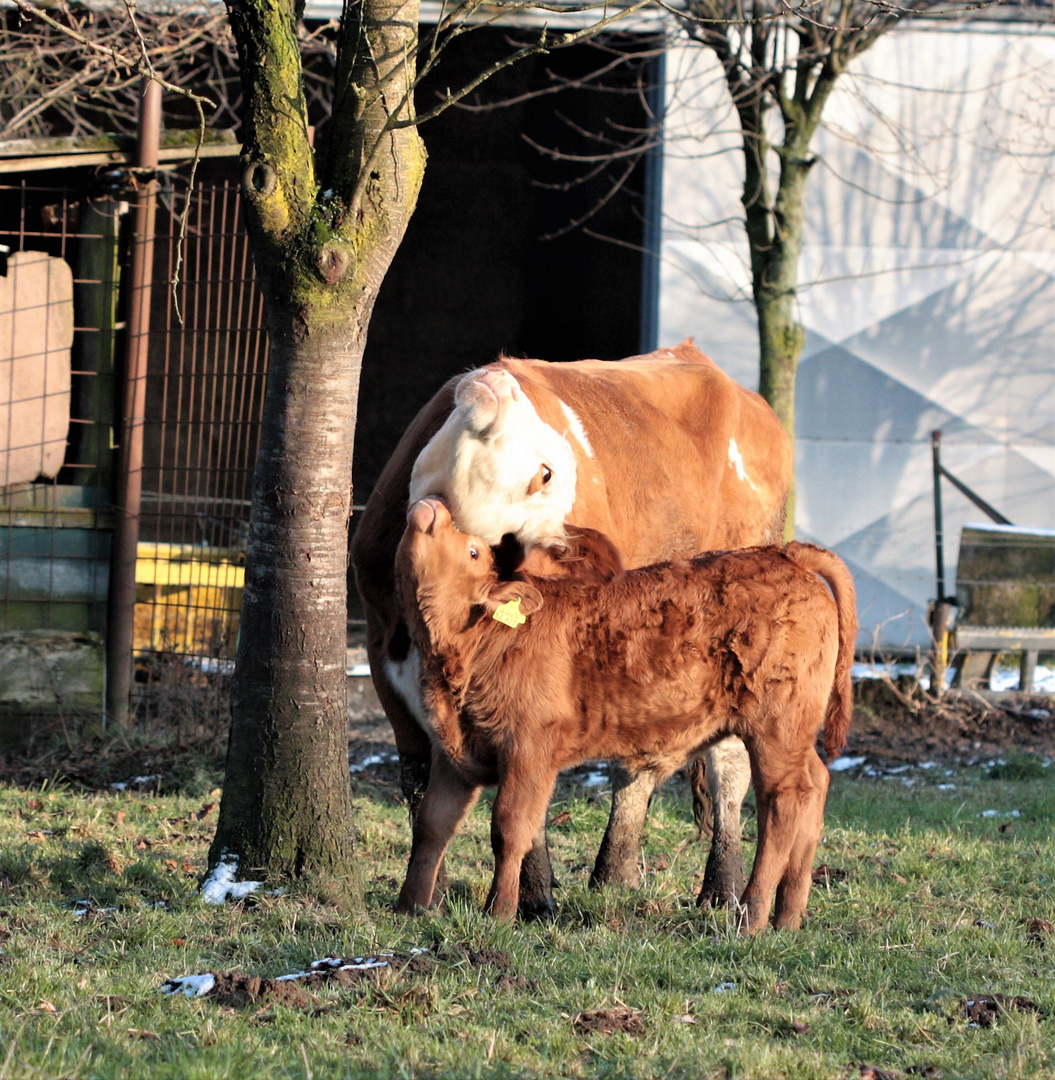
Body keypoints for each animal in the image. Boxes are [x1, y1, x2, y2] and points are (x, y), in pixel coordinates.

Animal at [349, 341, 794, 915]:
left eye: (545, 475)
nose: (503, 382)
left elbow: (523, 801)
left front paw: (532, 897)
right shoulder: (386, 661)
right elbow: (420, 785)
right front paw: (432, 893)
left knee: (728, 759)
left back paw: (720, 887)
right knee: (637, 762)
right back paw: (615, 873)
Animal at [395, 496, 855, 928]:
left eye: (473, 551)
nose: (433, 505)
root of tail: (784, 554)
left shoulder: (530, 751)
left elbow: (510, 829)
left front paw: (500, 911)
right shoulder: (455, 754)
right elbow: (432, 825)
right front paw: (410, 908)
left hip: (775, 727)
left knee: (782, 803)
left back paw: (753, 919)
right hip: (793, 732)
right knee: (815, 785)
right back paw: (787, 918)